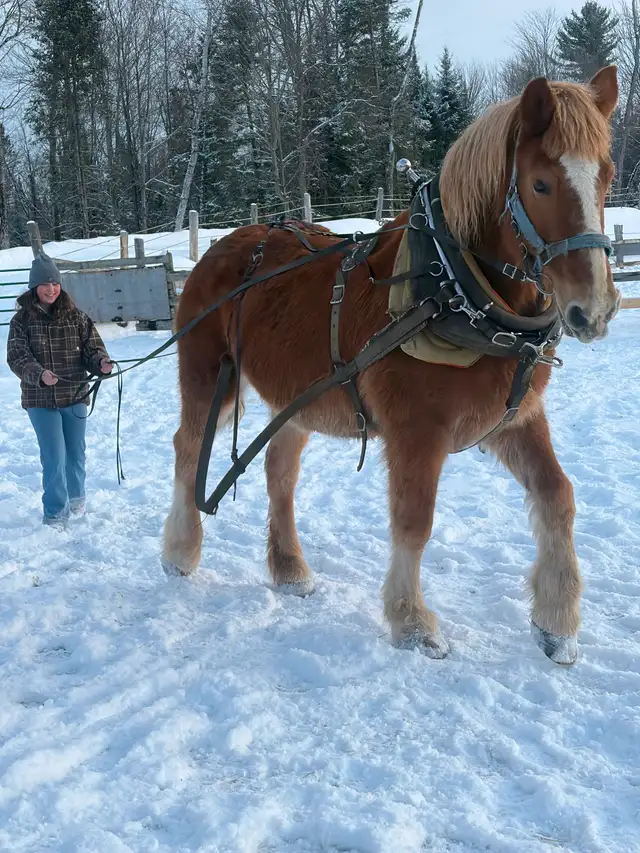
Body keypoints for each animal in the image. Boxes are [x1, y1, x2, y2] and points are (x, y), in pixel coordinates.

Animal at [162, 66, 620, 666]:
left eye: (606, 175)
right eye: (541, 183)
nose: (595, 309)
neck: (453, 286)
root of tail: (221, 246)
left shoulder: (516, 419)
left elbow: (558, 497)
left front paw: (557, 623)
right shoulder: (416, 432)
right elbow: (414, 520)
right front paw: (411, 621)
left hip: (296, 399)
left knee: (279, 470)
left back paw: (289, 569)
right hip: (209, 378)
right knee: (190, 447)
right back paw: (180, 550)